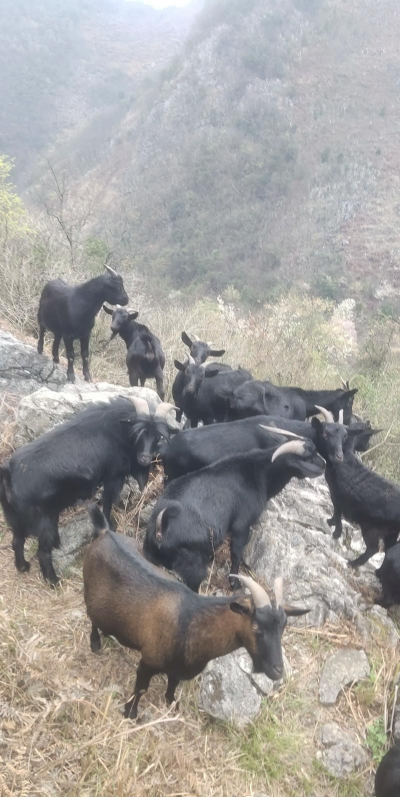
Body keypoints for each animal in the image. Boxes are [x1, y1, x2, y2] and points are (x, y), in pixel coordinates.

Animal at [0, 397, 177, 585]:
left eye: (158, 436)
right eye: (138, 433)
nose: (144, 458)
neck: (118, 430)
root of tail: (9, 474)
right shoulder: (113, 475)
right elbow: (107, 501)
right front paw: (110, 525)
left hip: (15, 518)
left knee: (17, 541)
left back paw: (23, 566)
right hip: (43, 520)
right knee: (42, 551)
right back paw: (54, 580)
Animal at [84, 504, 309, 719]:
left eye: (283, 627)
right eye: (256, 626)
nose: (277, 670)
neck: (192, 623)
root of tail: (105, 532)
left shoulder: (179, 670)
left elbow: (172, 687)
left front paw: (172, 705)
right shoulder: (149, 659)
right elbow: (141, 688)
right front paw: (130, 713)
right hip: (92, 600)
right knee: (93, 621)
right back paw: (95, 643)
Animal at [144, 434, 324, 592]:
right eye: (308, 457)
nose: (324, 465)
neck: (256, 472)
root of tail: (161, 529)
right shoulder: (242, 524)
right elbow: (237, 552)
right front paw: (235, 583)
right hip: (193, 565)